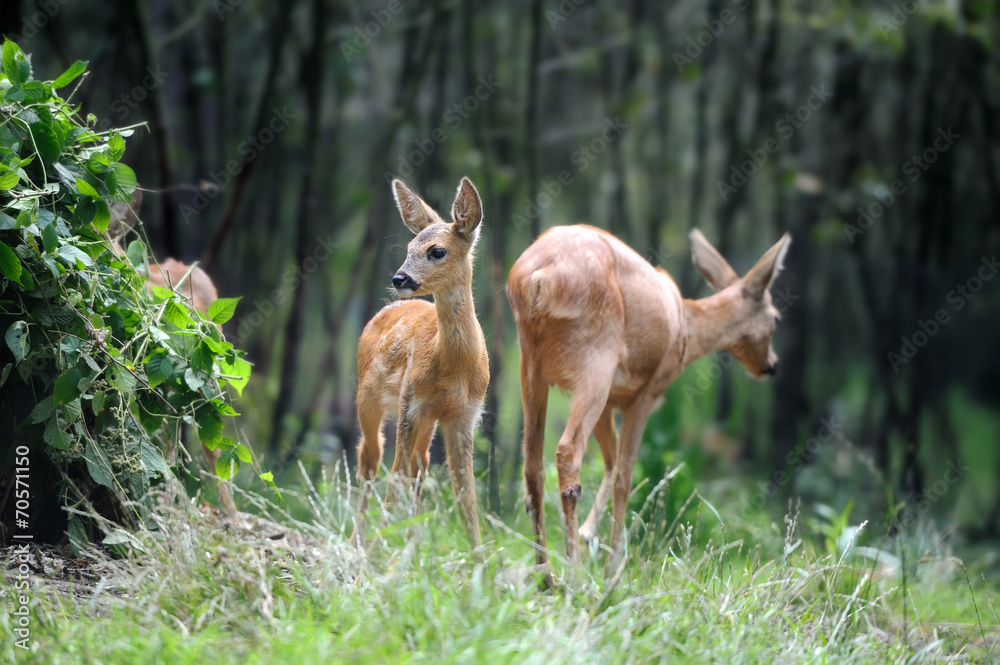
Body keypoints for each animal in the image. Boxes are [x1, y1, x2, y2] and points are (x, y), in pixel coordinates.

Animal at [352, 176, 492, 548]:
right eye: (408, 248)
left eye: (437, 251)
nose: (399, 279)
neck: (453, 367)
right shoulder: (410, 402)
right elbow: (395, 475)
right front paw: (381, 551)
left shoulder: (464, 415)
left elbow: (466, 492)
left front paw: (481, 557)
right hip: (368, 398)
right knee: (370, 461)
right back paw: (359, 543)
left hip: (428, 419)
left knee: (419, 467)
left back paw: (410, 540)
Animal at [508, 226, 788, 568]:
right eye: (776, 318)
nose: (771, 365)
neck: (686, 327)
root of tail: (538, 277)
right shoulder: (646, 393)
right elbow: (624, 475)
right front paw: (613, 565)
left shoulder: (610, 401)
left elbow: (612, 462)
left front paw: (590, 535)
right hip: (596, 358)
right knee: (568, 452)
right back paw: (573, 571)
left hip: (531, 363)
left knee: (532, 464)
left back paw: (546, 572)